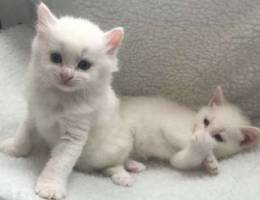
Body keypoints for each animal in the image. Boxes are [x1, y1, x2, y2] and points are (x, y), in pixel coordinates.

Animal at [0, 3, 132, 200]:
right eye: (56, 58)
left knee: (116, 164)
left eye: (84, 65)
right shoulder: (33, 115)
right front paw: (12, 149)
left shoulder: (73, 136)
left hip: (111, 151)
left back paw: (124, 176)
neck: (60, 96)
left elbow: (58, 165)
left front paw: (50, 188)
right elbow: (22, 135)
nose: (66, 75)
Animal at [120, 86, 260, 174]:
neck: (191, 124)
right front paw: (207, 154)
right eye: (206, 121)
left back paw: (133, 165)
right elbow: (184, 138)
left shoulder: (176, 157)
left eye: (218, 137)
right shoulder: (170, 124)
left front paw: (208, 162)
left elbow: (180, 161)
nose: (203, 133)